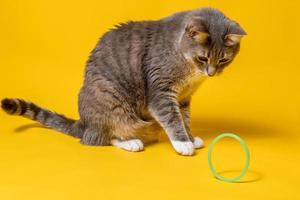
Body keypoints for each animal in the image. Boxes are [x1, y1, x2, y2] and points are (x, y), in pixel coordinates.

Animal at [1, 7, 246, 155]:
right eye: (203, 58)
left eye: (223, 60)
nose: (211, 73)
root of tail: (84, 123)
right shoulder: (160, 92)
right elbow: (172, 117)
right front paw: (183, 143)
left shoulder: (184, 97)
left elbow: (184, 118)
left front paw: (190, 137)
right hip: (112, 101)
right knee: (99, 138)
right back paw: (131, 141)